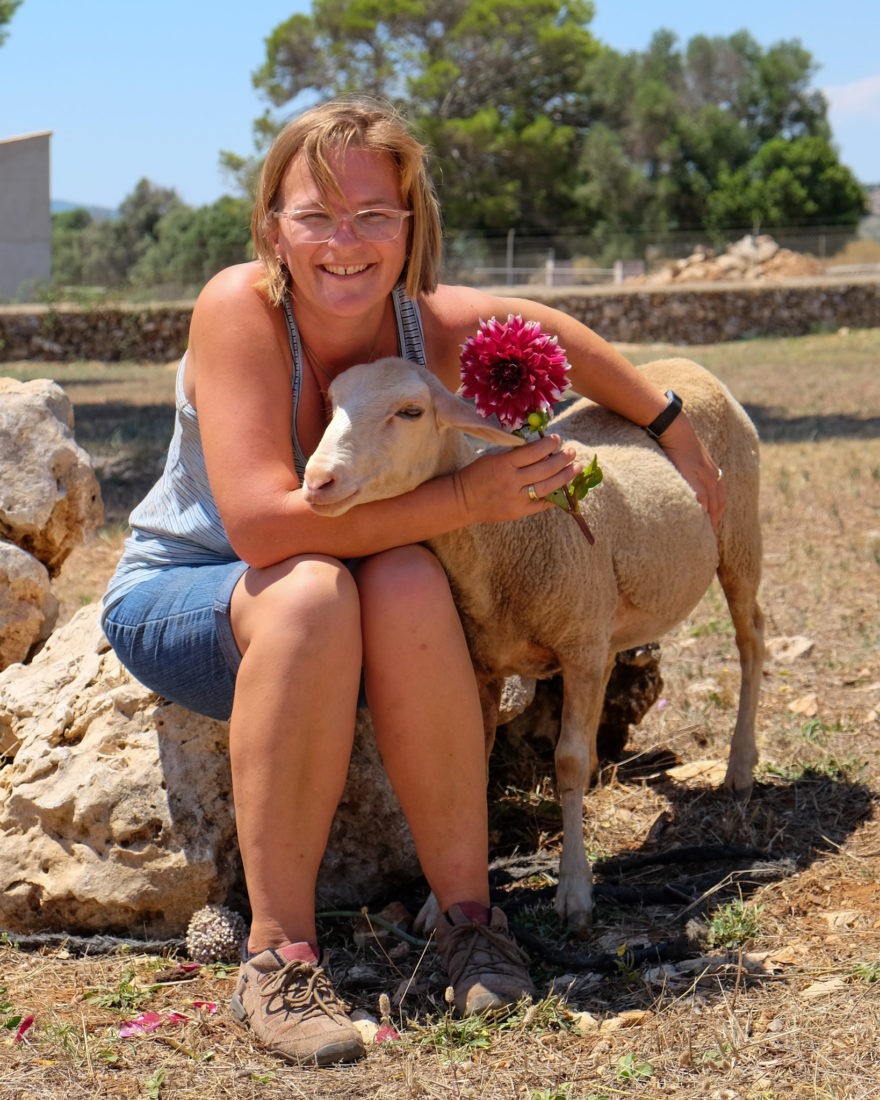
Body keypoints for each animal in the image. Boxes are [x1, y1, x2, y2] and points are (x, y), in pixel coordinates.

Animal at [303, 358, 761, 928]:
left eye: (410, 411)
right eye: (331, 402)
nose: (317, 480)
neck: (500, 547)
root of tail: (685, 364)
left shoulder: (578, 648)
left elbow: (566, 763)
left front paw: (574, 890)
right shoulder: (487, 665)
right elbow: (473, 767)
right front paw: (442, 903)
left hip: (739, 537)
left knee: (751, 640)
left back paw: (740, 766)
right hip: (604, 613)